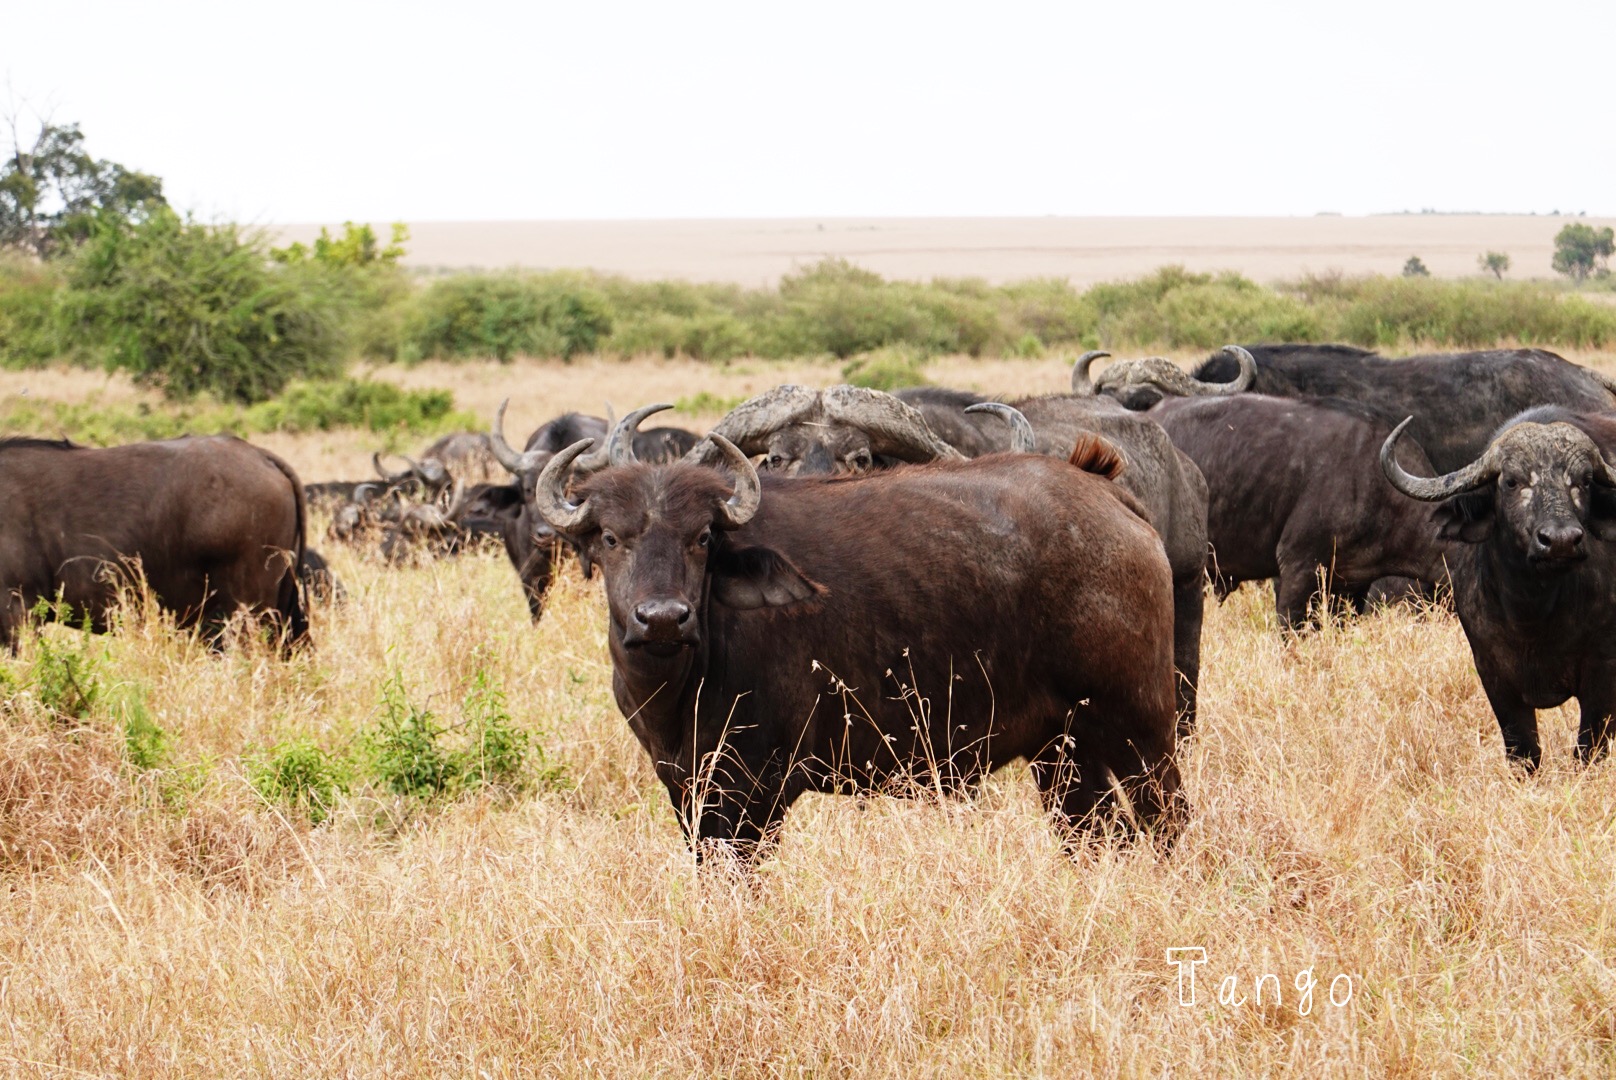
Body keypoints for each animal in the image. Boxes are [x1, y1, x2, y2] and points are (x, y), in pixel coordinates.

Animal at [536, 410, 1182, 860]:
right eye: (611, 538)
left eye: (701, 538)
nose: (664, 617)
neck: (678, 686)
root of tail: (1107, 493)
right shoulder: (686, 789)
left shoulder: (754, 792)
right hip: (1062, 749)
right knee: (1097, 834)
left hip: (1143, 731)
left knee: (1167, 822)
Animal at [1376, 404, 1616, 766]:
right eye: (1512, 482)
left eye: (1584, 482)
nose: (1560, 541)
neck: (1533, 614)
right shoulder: (1493, 675)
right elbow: (1523, 753)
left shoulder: (1603, 675)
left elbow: (1588, 750)